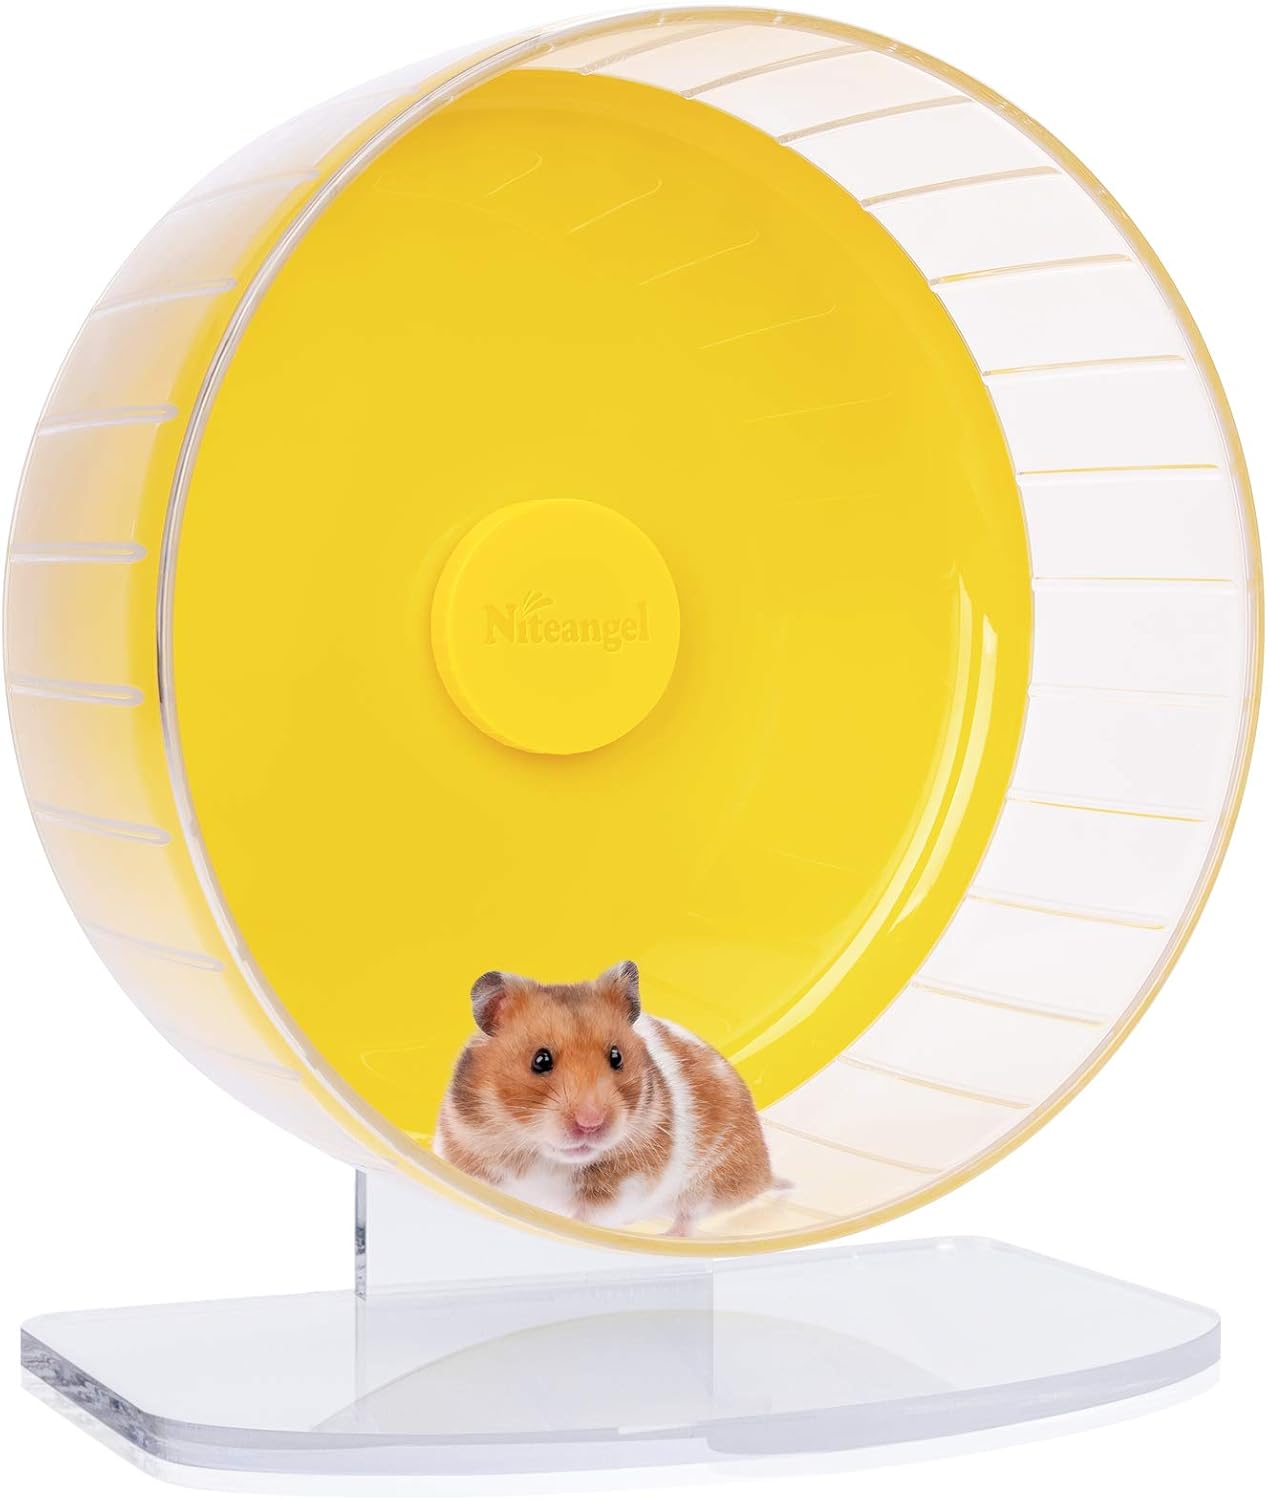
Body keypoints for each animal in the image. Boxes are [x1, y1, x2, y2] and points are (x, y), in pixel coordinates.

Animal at [433, 962, 782, 1236]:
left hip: (712, 1179)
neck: (546, 1158)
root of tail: (764, 1173)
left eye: (616, 1056)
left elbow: (590, 1216)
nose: (591, 1124)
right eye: (540, 1060)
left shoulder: (626, 1183)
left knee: (689, 1214)